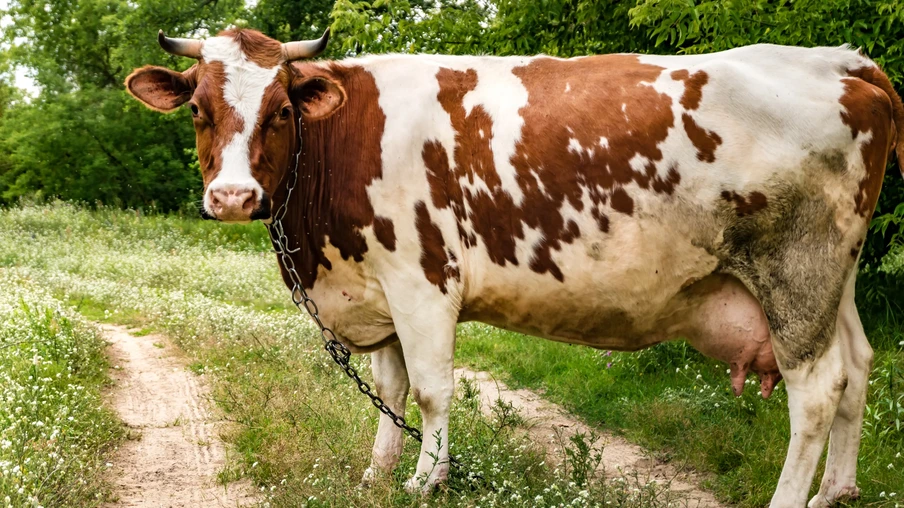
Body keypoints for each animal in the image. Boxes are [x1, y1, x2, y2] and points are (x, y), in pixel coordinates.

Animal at [125, 27, 904, 507]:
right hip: (834, 282)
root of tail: (844, 61)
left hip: (796, 276)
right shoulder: (378, 284)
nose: (231, 197)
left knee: (817, 391)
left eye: (282, 109)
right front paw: (377, 472)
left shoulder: (421, 280)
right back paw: (836, 491)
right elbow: (391, 387)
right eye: (198, 108)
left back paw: (792, 497)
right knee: (858, 366)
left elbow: (431, 390)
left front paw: (425, 482)